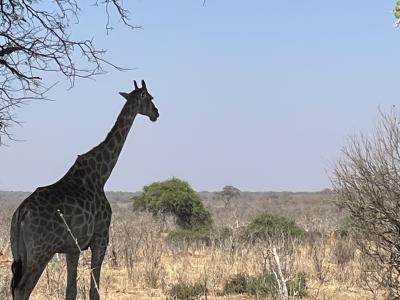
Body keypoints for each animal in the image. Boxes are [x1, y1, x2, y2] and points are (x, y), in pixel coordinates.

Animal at [9, 79, 159, 300]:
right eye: (149, 98)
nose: (156, 113)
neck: (101, 175)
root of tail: (22, 211)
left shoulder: (74, 248)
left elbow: (70, 290)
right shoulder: (101, 238)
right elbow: (94, 290)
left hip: (19, 250)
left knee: (15, 287)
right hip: (41, 251)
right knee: (23, 288)